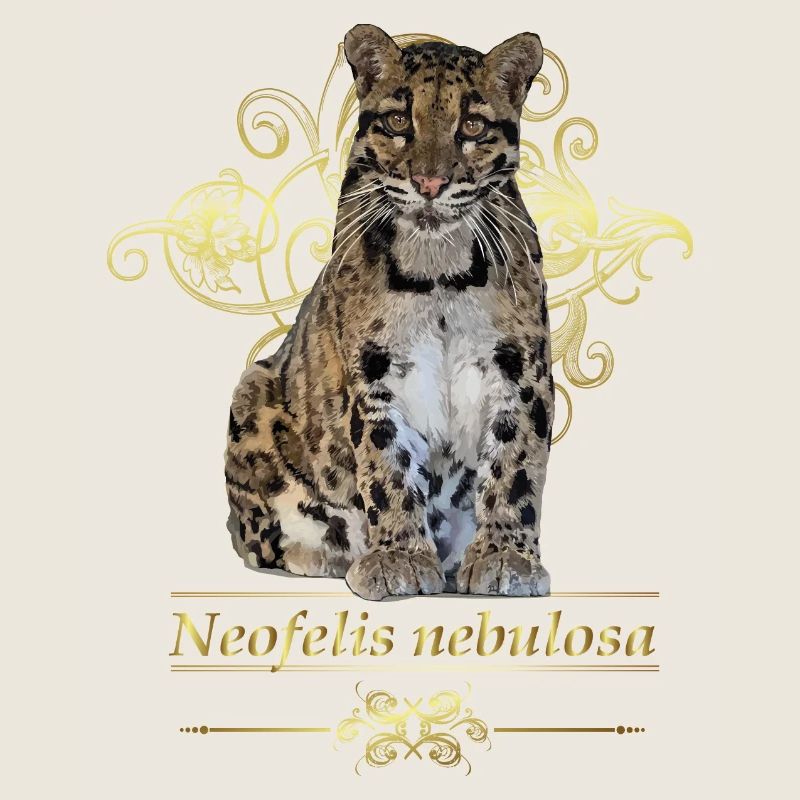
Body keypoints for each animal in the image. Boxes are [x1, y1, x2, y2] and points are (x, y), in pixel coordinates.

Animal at [224, 24, 554, 601]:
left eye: (472, 125)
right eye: (400, 121)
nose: (429, 184)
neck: (439, 271)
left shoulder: (521, 369)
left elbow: (515, 464)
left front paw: (505, 557)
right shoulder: (374, 371)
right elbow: (386, 465)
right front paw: (398, 556)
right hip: (252, 391)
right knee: (260, 538)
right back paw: (329, 554)